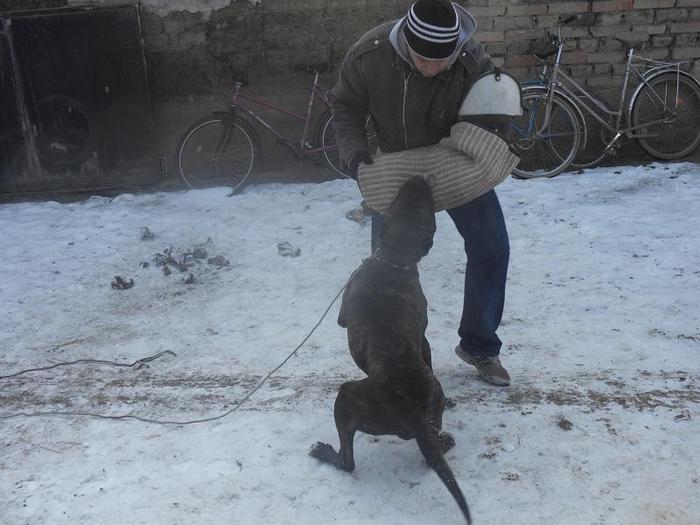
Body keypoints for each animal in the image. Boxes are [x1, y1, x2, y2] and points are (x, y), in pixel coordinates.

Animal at [310, 177, 470, 524]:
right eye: (401, 202)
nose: (419, 178)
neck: (394, 260)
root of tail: (412, 413)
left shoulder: (344, 314)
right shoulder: (423, 339)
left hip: (347, 398)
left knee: (348, 461)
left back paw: (324, 452)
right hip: (431, 403)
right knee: (431, 451)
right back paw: (444, 439)